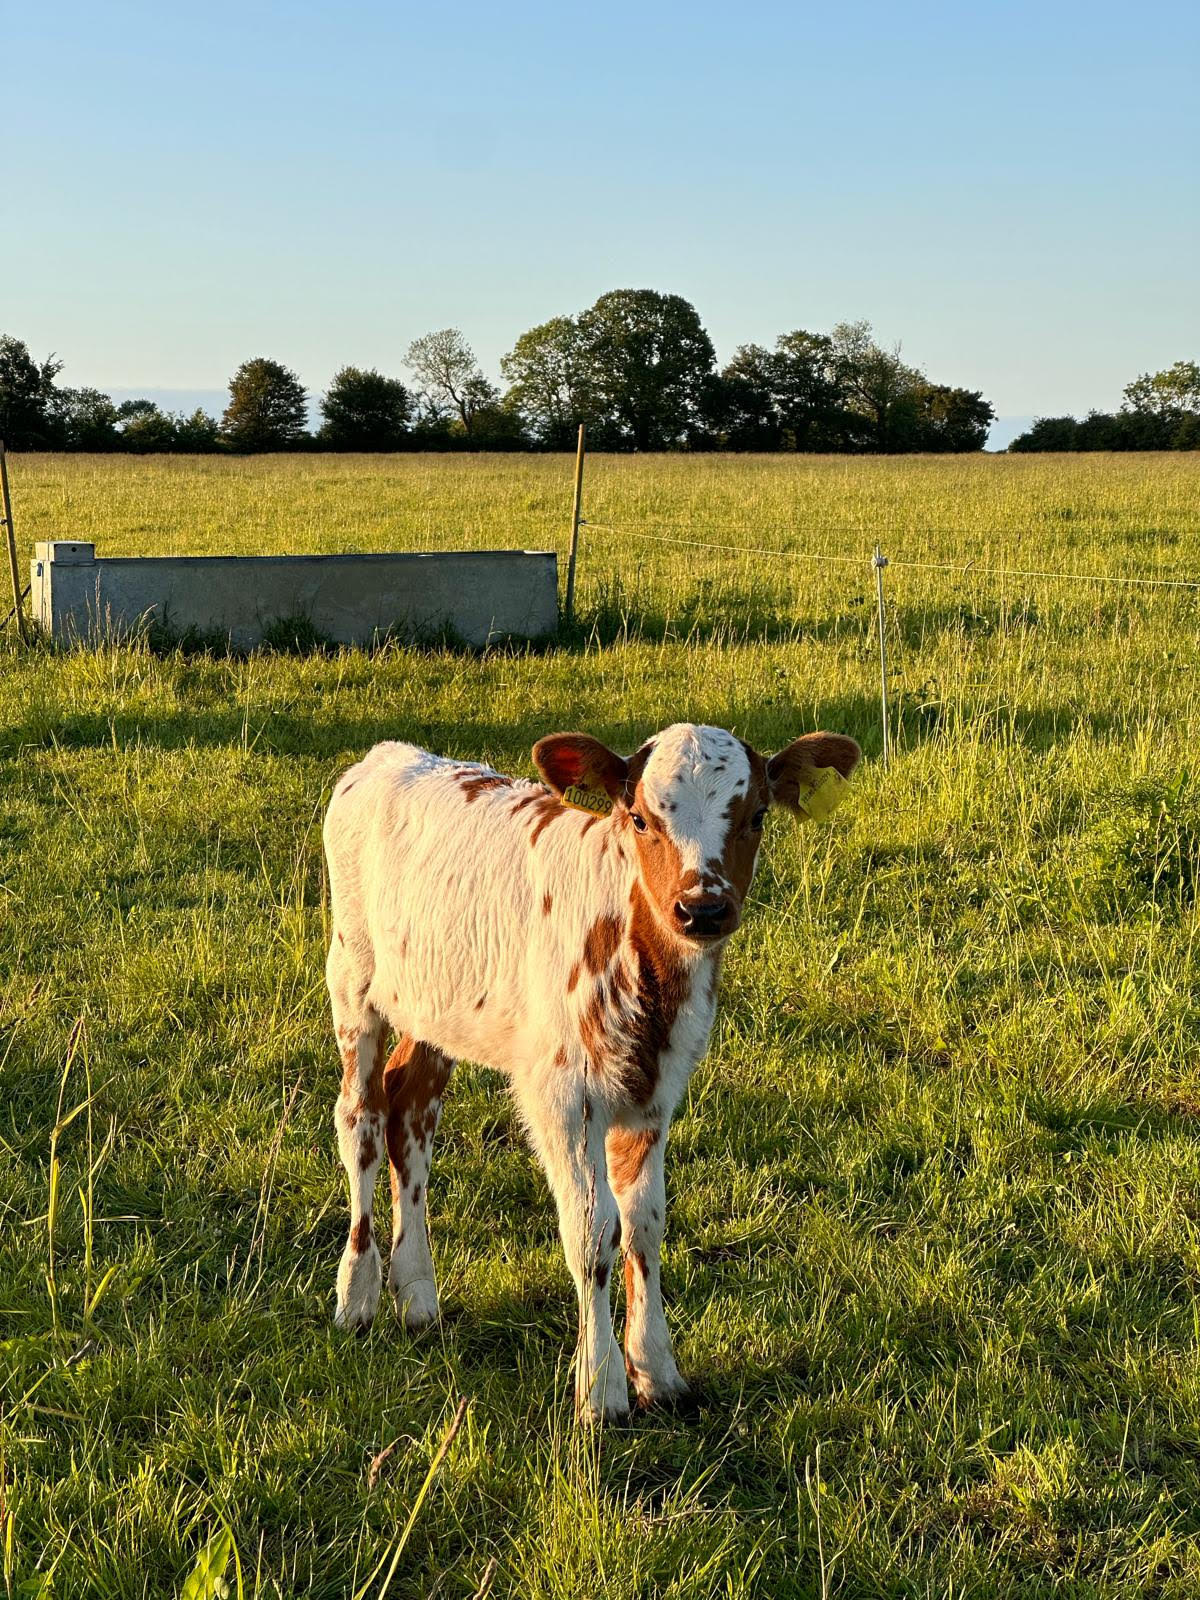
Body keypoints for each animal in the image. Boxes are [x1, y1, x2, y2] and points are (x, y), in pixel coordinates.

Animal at [324, 723, 857, 1414]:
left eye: (757, 816)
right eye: (640, 818)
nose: (703, 910)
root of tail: (387, 755)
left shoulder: (656, 1092)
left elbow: (644, 1223)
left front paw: (656, 1369)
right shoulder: (562, 1095)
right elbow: (591, 1228)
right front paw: (600, 1388)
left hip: (433, 1003)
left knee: (409, 1113)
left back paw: (416, 1296)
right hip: (352, 979)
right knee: (361, 1119)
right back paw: (357, 1294)